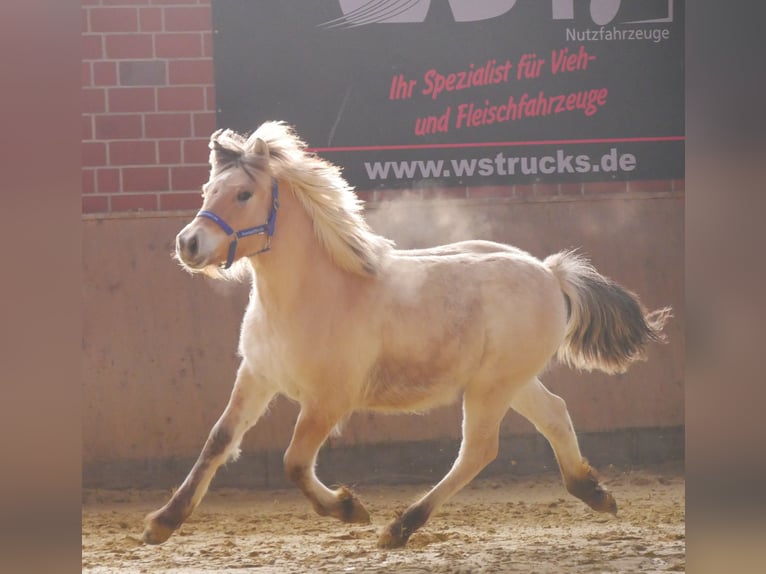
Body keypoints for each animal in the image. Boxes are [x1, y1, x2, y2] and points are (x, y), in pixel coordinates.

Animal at [144, 120, 672, 548]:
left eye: (243, 195)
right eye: (208, 188)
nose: (188, 244)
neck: (310, 296)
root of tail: (549, 272)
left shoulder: (329, 399)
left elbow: (294, 461)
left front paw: (349, 508)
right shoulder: (257, 376)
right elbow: (219, 440)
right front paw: (163, 522)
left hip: (491, 387)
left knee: (479, 449)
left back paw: (399, 528)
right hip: (512, 381)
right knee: (556, 415)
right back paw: (594, 492)